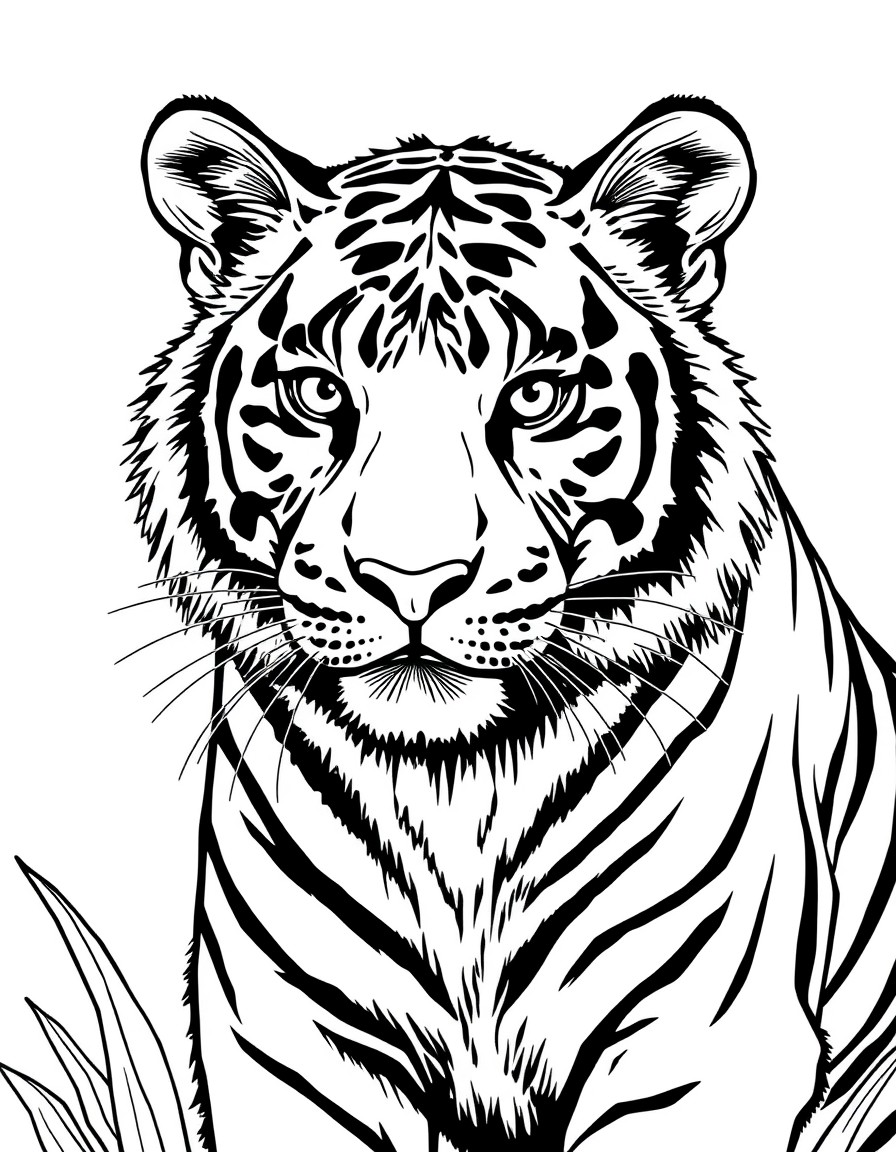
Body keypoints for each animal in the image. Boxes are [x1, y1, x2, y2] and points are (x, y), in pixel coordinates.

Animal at [130, 95, 896, 1152]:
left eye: (536, 395)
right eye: (318, 391)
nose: (411, 580)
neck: (455, 796)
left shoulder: (695, 1045)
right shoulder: (296, 1050)